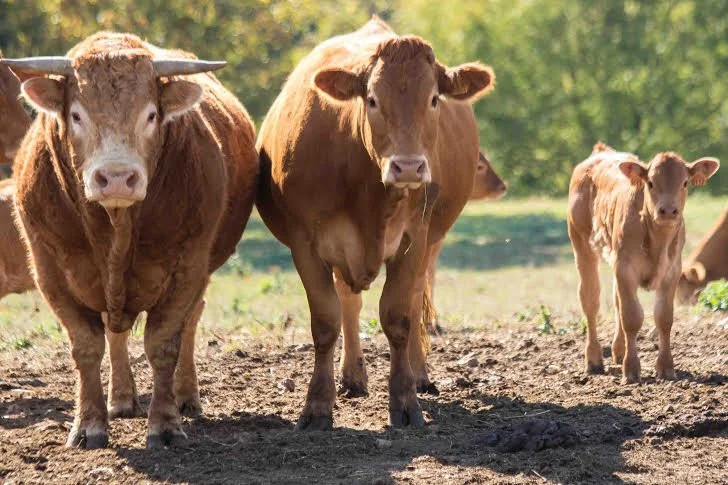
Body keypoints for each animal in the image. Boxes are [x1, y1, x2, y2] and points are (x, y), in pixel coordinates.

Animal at [5, 32, 258, 449]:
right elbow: (87, 345)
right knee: (115, 333)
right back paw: (121, 399)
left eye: (151, 115)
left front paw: (166, 424)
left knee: (190, 322)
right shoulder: (50, 270)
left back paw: (185, 396)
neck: (116, 227)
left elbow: (164, 343)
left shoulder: (189, 265)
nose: (117, 178)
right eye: (77, 115)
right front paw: (88, 425)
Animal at [256, 16, 495, 428]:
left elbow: (398, 316)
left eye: (434, 99)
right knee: (349, 302)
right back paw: (352, 375)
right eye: (372, 100)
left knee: (413, 299)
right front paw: (317, 405)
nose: (409, 167)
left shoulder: (414, 238)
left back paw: (419, 374)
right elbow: (326, 320)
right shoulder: (305, 242)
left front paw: (405, 401)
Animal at [568, 142, 719, 384]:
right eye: (651, 182)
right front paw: (631, 369)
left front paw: (666, 368)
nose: (668, 211)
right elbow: (631, 316)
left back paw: (618, 351)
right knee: (590, 300)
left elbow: (663, 318)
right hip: (581, 243)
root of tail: (600, 153)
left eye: (685, 182)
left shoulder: (671, 272)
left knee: (615, 300)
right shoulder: (625, 268)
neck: (657, 240)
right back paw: (594, 360)